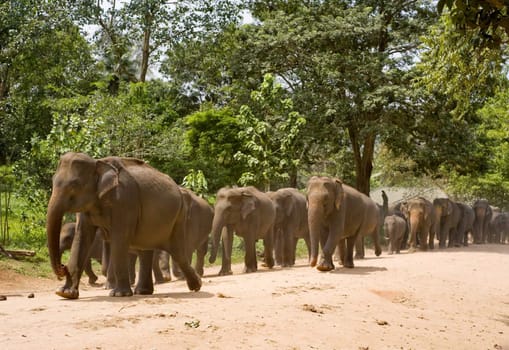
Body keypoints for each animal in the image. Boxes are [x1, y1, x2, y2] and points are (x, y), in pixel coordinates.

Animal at [45, 152, 200, 300]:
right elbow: (82, 237)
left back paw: (196, 286)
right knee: (147, 251)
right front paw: (65, 293)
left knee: (177, 252)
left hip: (179, 217)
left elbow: (119, 238)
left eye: (75, 185)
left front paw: (119, 294)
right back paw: (144, 292)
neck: (98, 163)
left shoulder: (124, 200)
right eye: (52, 181)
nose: (63, 267)